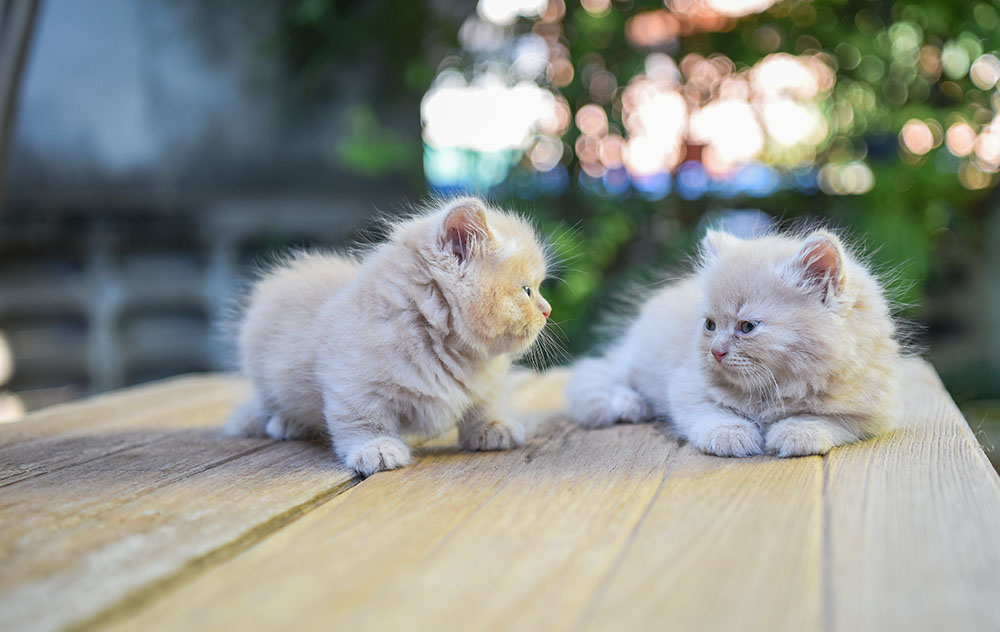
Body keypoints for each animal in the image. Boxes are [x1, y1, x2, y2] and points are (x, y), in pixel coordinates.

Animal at [225, 198, 556, 474]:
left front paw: (492, 427)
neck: (449, 347)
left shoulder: (486, 381)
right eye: (527, 290)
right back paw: (285, 422)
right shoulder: (353, 384)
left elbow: (484, 403)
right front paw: (376, 448)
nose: (548, 310)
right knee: (267, 403)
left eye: (537, 289)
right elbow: (363, 420)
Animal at [568, 230, 904, 456]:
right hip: (637, 356)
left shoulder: (871, 409)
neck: (772, 390)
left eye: (747, 327)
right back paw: (631, 405)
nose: (716, 352)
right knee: (615, 376)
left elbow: (825, 419)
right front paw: (733, 435)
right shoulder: (686, 386)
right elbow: (711, 413)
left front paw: (797, 432)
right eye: (710, 325)